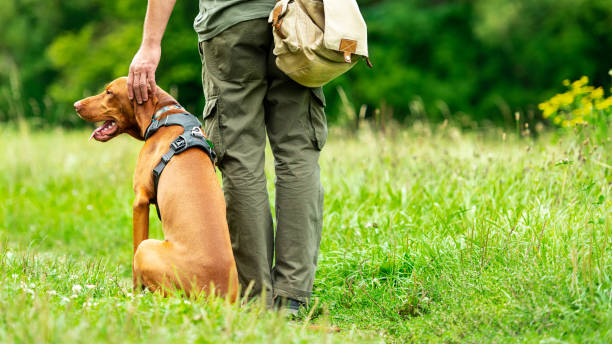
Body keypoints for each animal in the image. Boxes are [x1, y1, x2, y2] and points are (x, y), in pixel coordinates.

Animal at [75, 76, 238, 300]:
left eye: (109, 92)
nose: (76, 105)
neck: (163, 115)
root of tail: (215, 294)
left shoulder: (140, 200)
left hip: (148, 249)